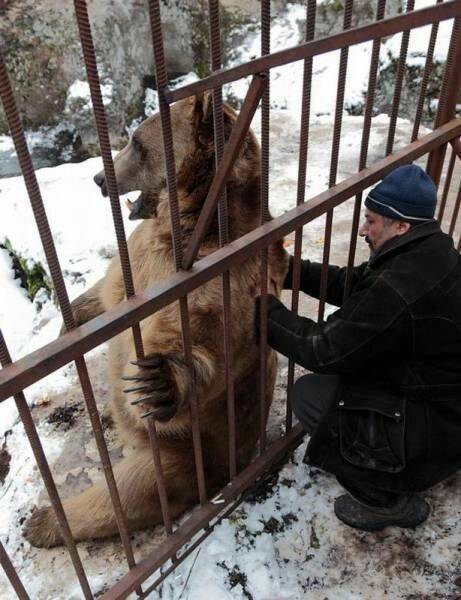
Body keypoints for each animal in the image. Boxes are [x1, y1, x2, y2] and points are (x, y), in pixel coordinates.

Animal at [24, 94, 288, 548]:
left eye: (135, 142)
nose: (99, 178)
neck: (186, 221)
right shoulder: (140, 257)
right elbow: (109, 290)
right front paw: (67, 323)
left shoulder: (230, 280)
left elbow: (200, 337)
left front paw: (158, 380)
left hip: (179, 455)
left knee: (127, 494)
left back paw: (42, 522)